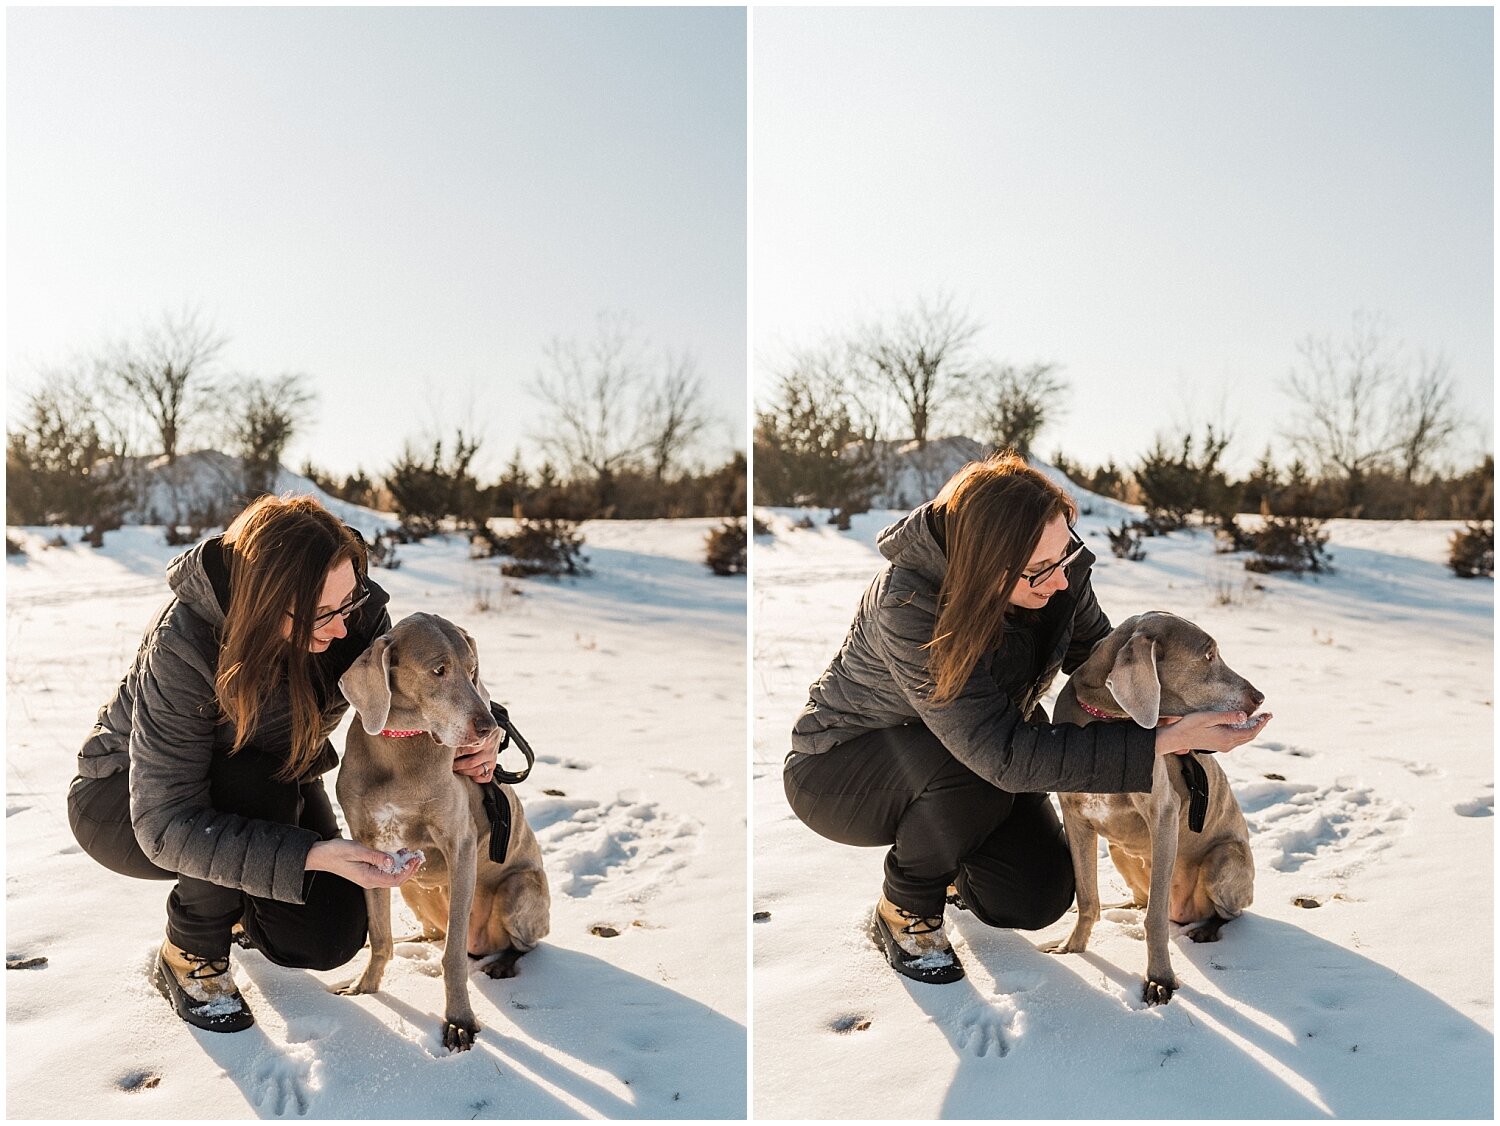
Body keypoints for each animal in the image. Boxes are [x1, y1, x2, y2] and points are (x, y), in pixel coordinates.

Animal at [334, 611, 552, 1055]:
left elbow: (452, 958)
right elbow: (379, 934)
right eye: (439, 670)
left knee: (520, 945)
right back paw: (416, 940)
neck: (398, 747)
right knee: (433, 932)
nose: (490, 728)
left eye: (473, 670)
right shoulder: (369, 845)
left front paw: (459, 1021)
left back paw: (502, 964)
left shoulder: (460, 847)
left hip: (519, 890)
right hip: (411, 887)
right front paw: (365, 989)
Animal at [1044, 611, 1266, 1007]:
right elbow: (1087, 896)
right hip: (1119, 851)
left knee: (1229, 913)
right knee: (1140, 899)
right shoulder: (1075, 817)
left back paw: (1206, 930)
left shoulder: (1164, 815)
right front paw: (1072, 948)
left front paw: (1159, 979)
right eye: (1209, 655)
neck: (1108, 723)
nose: (1259, 697)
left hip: (1223, 859)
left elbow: (1155, 919)